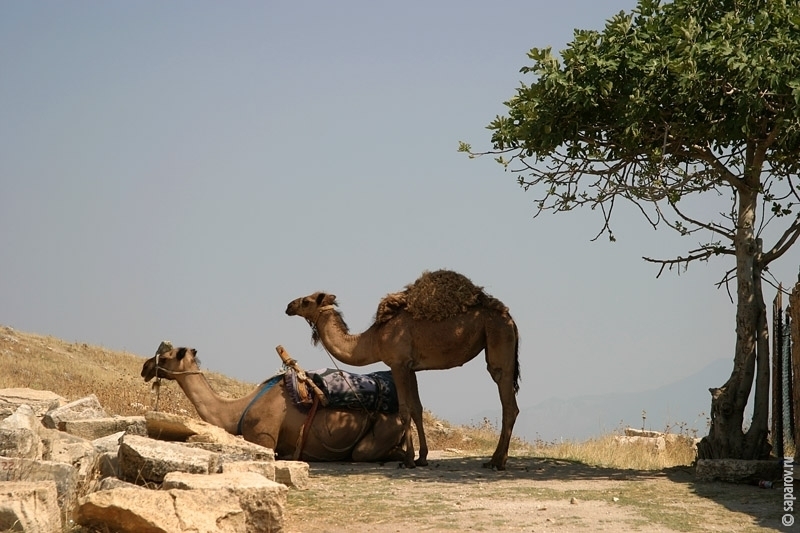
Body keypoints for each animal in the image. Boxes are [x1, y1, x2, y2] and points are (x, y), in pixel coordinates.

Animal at [138, 344, 406, 462]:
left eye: (167, 356)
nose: (146, 367)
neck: (236, 411)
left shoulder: (263, 437)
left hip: (384, 427)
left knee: (364, 453)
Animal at [284, 268, 520, 468]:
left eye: (306, 301)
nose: (288, 306)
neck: (374, 339)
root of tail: (510, 318)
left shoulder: (398, 363)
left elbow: (405, 410)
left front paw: (408, 460)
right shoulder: (411, 368)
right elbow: (417, 408)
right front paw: (422, 458)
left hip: (498, 337)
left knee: (507, 401)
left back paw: (497, 462)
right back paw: (496, 460)